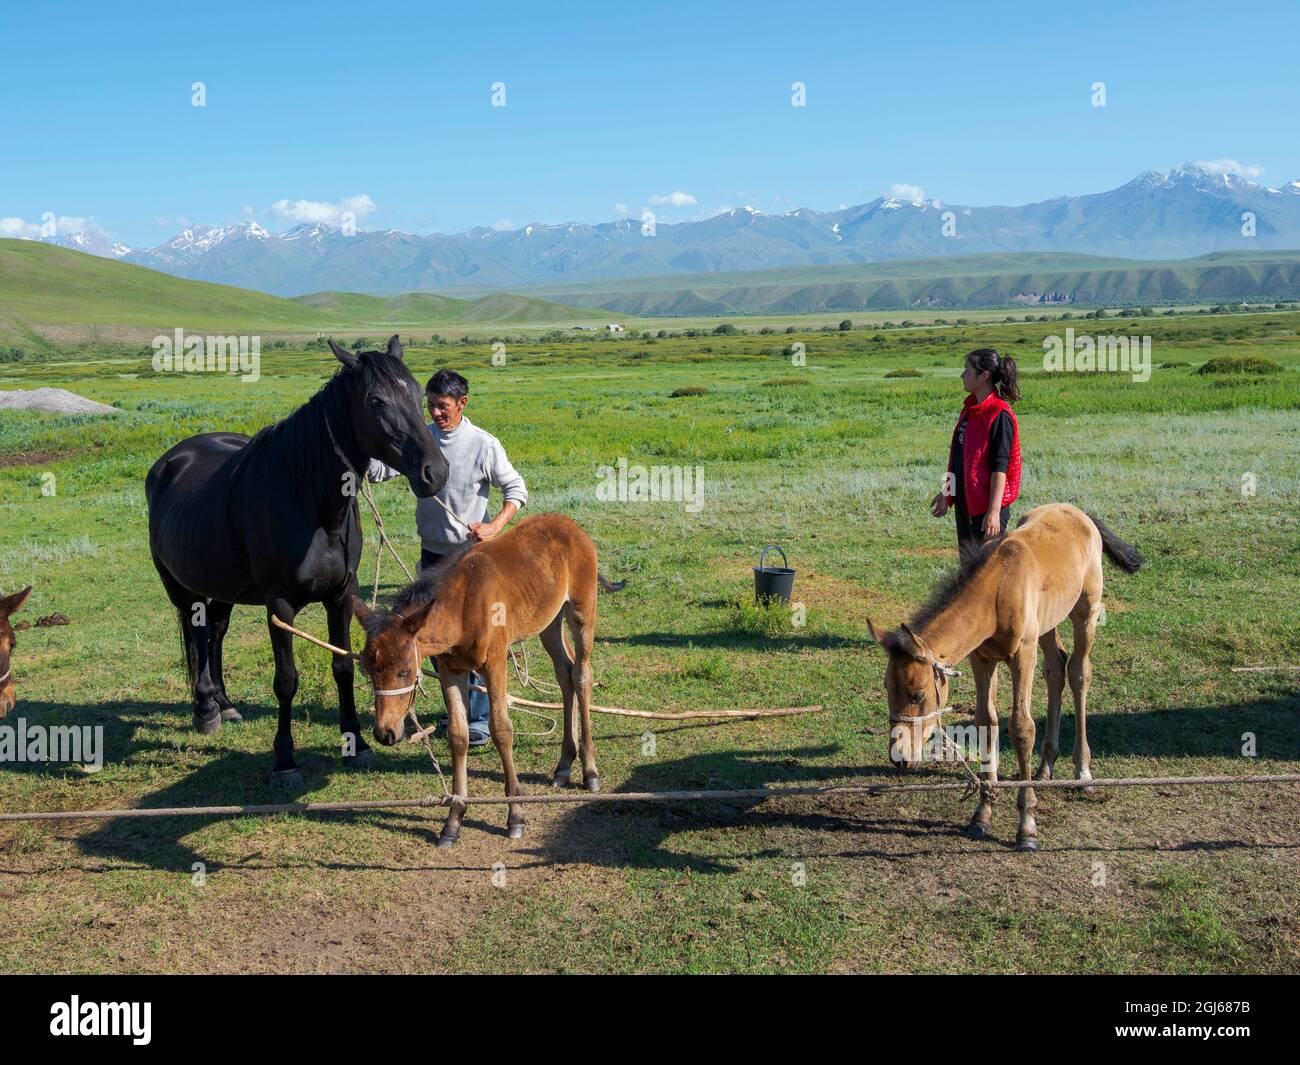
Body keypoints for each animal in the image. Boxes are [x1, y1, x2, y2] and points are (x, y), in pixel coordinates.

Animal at [145, 336, 448, 782]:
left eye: (416, 394)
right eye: (377, 401)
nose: (436, 472)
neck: (312, 506)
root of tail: (171, 459)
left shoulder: (341, 597)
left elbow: (343, 667)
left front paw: (355, 744)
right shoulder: (280, 604)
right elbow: (286, 680)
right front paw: (285, 759)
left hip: (224, 586)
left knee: (215, 629)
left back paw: (225, 703)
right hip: (181, 586)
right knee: (197, 631)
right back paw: (205, 708)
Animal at [350, 512, 622, 847]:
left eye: (404, 670)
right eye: (367, 670)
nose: (385, 732)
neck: (462, 607)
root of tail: (571, 525)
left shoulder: (495, 662)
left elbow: (502, 730)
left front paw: (516, 815)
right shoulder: (450, 669)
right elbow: (458, 735)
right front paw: (453, 821)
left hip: (582, 610)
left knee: (582, 674)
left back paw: (590, 771)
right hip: (549, 621)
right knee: (565, 674)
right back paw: (563, 767)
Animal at [867, 503, 1143, 851]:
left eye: (918, 695)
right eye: (887, 689)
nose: (899, 757)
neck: (997, 590)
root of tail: (1079, 513)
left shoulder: (1022, 656)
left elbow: (1022, 728)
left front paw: (1027, 826)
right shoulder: (982, 659)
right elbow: (986, 721)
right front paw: (982, 813)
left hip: (1086, 612)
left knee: (1079, 673)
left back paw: (1083, 773)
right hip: (1048, 622)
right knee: (1056, 668)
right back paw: (1045, 767)